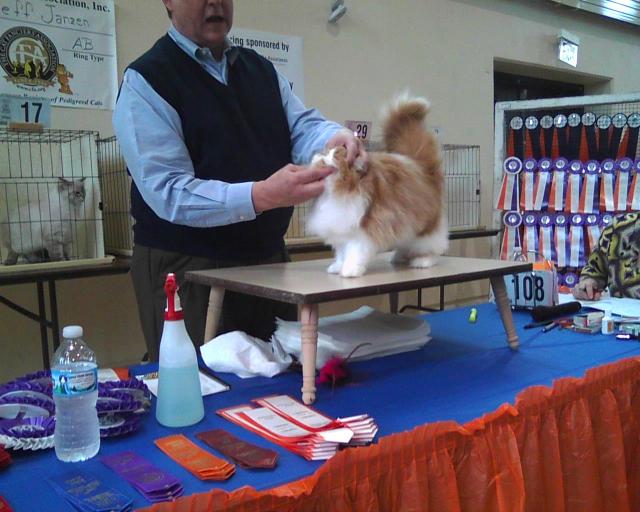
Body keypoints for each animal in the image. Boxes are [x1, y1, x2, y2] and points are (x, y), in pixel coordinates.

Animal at [306, 94, 448, 278]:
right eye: (325, 154)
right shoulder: (342, 230)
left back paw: (423, 261)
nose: (323, 158)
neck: (338, 192)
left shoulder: (362, 230)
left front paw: (350, 270)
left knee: (432, 246)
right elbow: (341, 253)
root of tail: (420, 166)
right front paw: (337, 267)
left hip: (424, 228)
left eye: (336, 155)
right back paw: (398, 257)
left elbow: (354, 252)